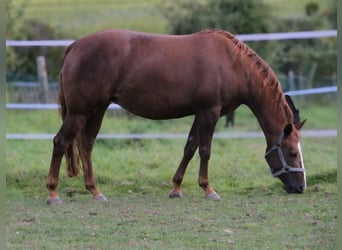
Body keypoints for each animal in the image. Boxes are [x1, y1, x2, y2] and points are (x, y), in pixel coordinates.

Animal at [46, 28, 308, 204]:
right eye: (292, 153)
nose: (300, 187)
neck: (231, 63)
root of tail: (75, 46)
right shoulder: (209, 113)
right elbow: (205, 150)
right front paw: (208, 189)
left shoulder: (200, 114)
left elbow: (190, 148)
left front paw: (176, 188)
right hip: (80, 112)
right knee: (61, 142)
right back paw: (53, 192)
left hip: (96, 110)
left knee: (86, 145)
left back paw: (95, 192)